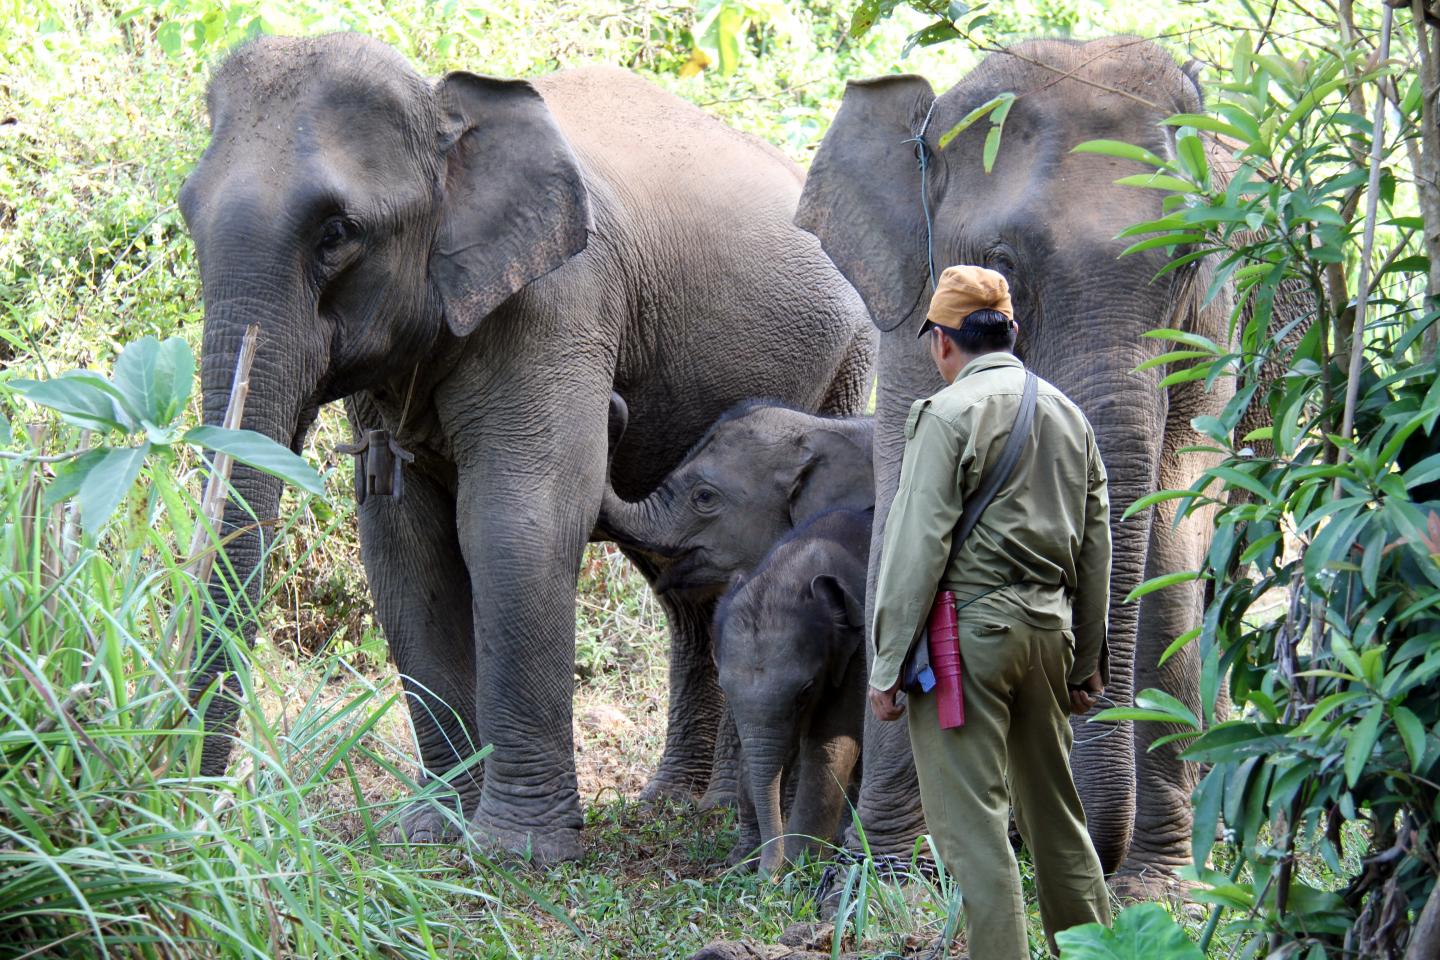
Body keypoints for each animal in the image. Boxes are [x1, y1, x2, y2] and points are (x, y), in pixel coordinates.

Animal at [717, 509, 869, 880]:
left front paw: (798, 866)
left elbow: (829, 747)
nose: (764, 877)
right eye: (724, 688)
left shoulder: (859, 654)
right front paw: (741, 861)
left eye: (806, 691)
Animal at [800, 37, 1226, 892]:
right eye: (999, 264)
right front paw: (878, 883)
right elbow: (901, 521)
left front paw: (1160, 896)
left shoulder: (1215, 326)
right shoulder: (909, 309)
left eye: (1188, 262)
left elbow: (1171, 538)